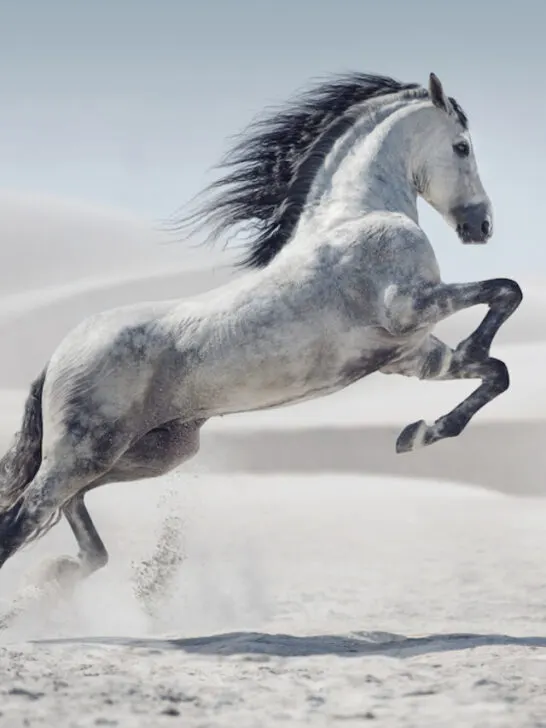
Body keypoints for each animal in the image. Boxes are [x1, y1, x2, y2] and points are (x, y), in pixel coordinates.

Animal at [0, 71, 522, 589]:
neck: (358, 215)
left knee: (70, 511)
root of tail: (57, 357)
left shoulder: (409, 355)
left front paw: (419, 433)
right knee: (21, 520)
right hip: (84, 452)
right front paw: (462, 360)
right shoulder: (409, 307)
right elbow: (506, 291)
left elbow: (496, 371)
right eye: (461, 146)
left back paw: (61, 575)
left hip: (151, 452)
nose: (482, 225)